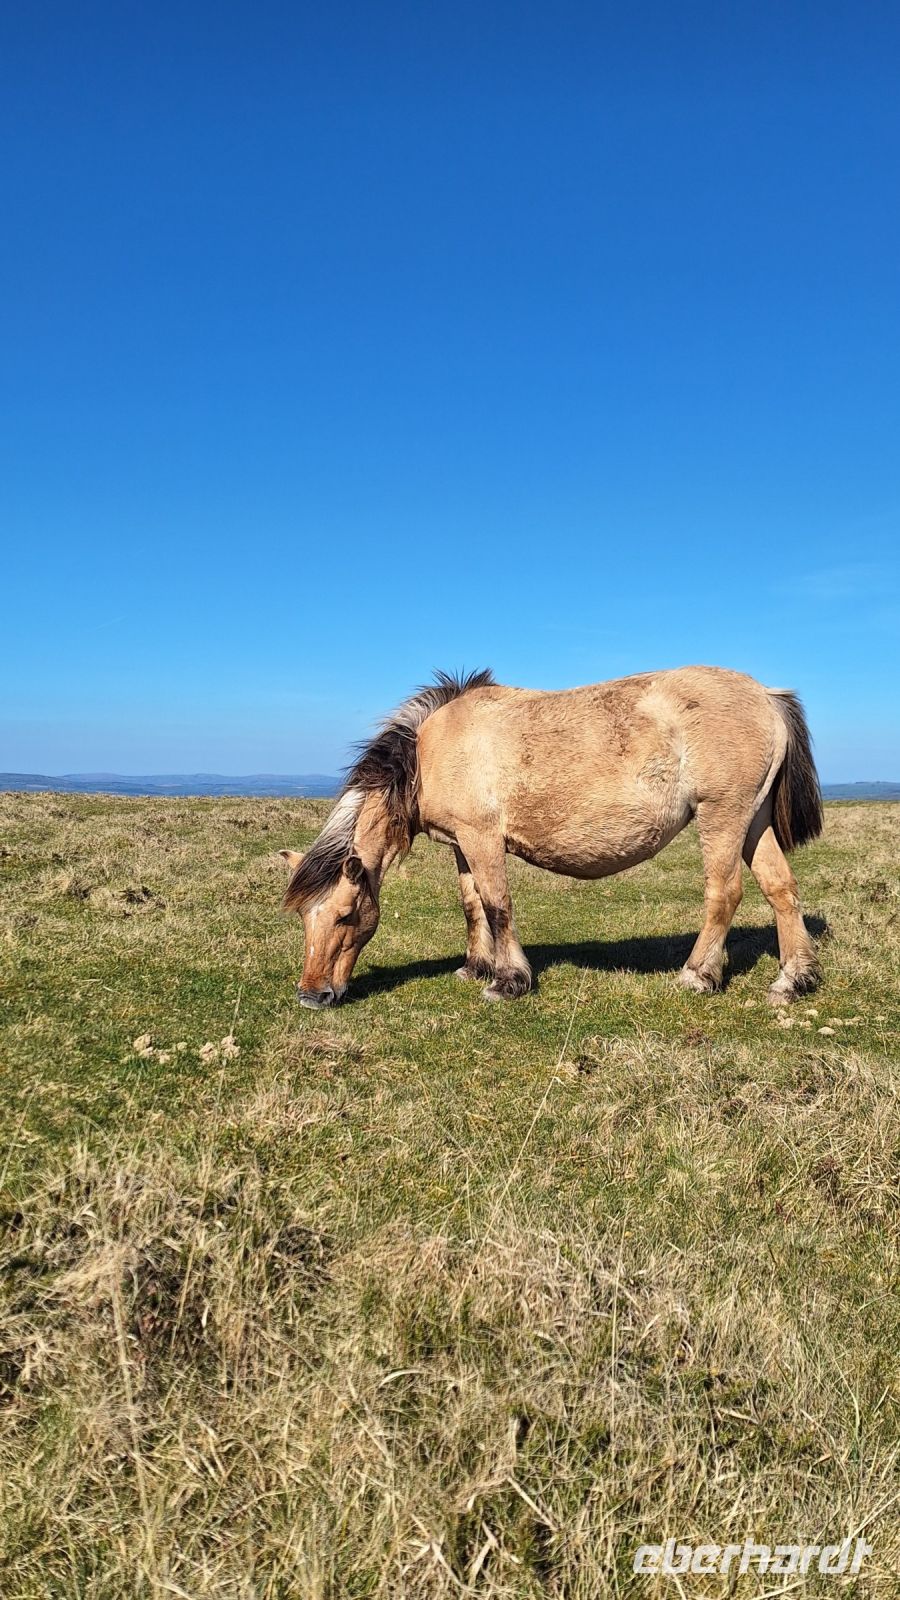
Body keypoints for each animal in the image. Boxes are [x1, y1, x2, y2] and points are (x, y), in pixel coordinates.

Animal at [279, 667, 822, 1009]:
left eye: (345, 915)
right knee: (781, 889)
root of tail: (766, 695)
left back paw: (697, 974)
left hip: (722, 817)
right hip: (753, 821)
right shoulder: (461, 844)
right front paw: (475, 967)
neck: (430, 750)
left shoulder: (482, 839)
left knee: (724, 893)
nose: (312, 995)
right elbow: (472, 907)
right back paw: (792, 980)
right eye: (306, 917)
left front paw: (508, 981)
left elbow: (497, 906)